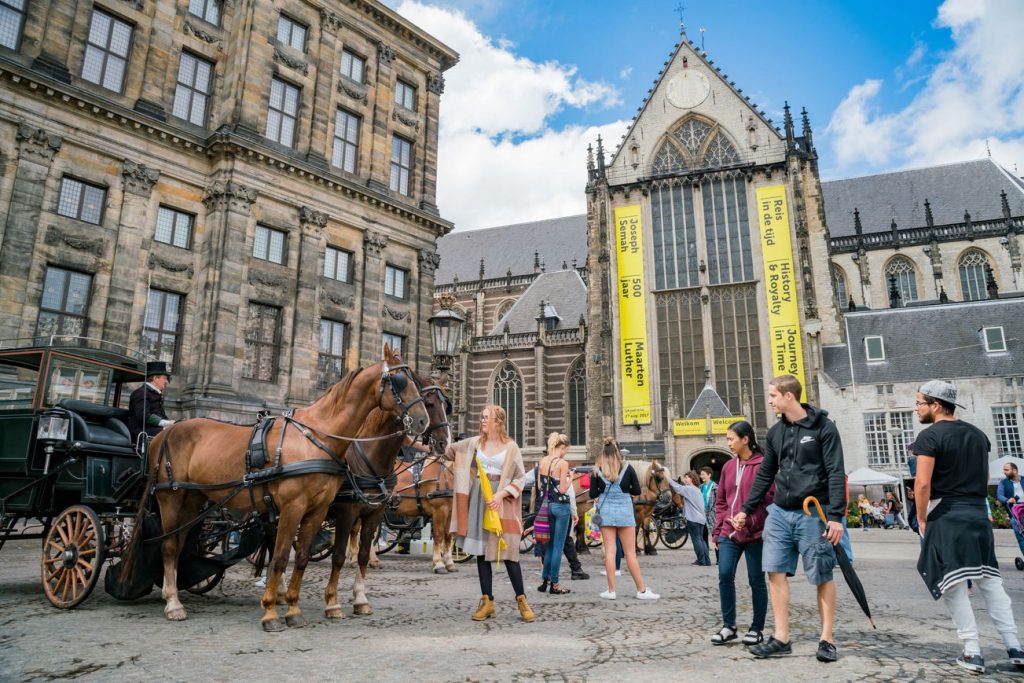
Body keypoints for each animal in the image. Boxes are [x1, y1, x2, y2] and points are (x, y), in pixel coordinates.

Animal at [125, 344, 425, 634]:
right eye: (400, 381)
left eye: (417, 382)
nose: (423, 421)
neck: (318, 437)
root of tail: (165, 433)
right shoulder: (300, 507)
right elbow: (281, 557)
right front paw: (271, 612)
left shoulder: (319, 510)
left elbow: (302, 557)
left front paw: (293, 610)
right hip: (170, 497)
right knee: (168, 546)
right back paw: (173, 603)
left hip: (193, 499)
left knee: (181, 543)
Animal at [319, 374, 448, 618]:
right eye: (429, 403)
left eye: (446, 404)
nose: (445, 441)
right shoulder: (347, 511)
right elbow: (338, 554)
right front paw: (332, 603)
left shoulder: (376, 512)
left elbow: (363, 551)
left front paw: (360, 599)